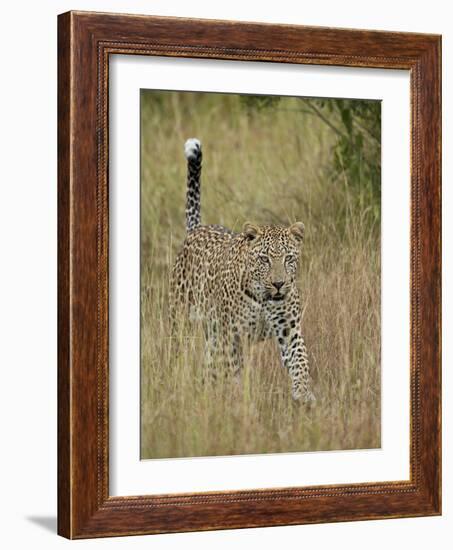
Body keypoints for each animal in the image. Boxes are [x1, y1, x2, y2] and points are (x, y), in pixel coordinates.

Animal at [169, 138, 314, 406]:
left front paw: (303, 394)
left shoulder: (289, 329)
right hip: (182, 319)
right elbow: (231, 368)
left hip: (213, 334)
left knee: (210, 365)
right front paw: (236, 398)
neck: (264, 298)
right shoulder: (232, 335)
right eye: (264, 259)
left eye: (288, 258)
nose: (279, 284)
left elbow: (300, 359)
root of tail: (196, 229)